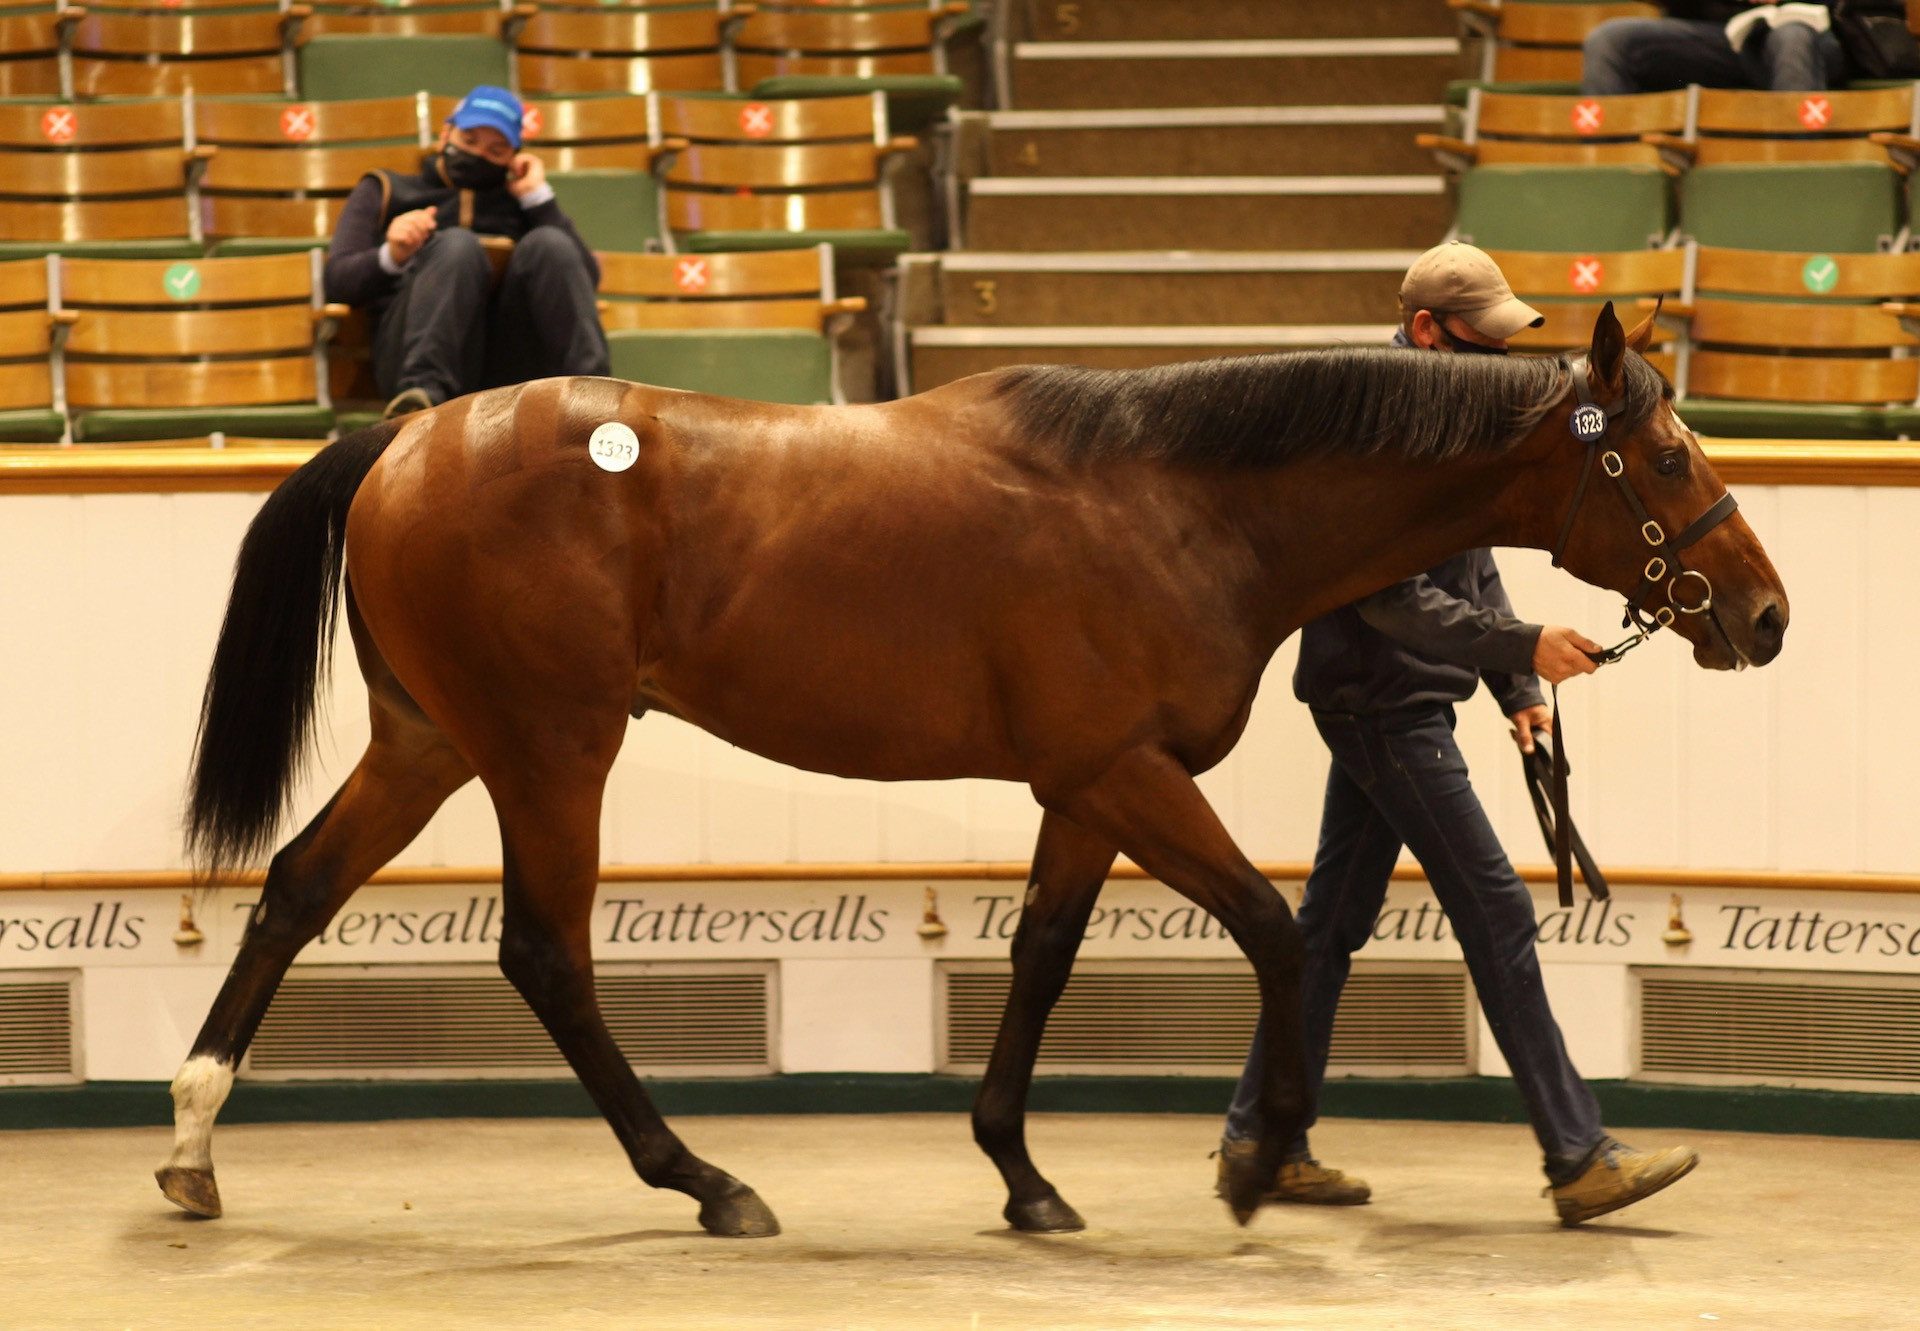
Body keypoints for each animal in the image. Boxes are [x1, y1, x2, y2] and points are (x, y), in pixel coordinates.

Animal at [161, 303, 1781, 1236]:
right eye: (1671, 456)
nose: (1764, 614)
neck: (1179, 500)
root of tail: (405, 437)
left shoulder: (1083, 787)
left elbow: (1045, 957)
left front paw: (1023, 1172)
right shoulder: (1125, 770)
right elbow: (1270, 930)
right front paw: (1259, 1159)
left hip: (431, 741)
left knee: (296, 887)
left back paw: (189, 1144)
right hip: (554, 748)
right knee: (547, 953)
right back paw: (708, 1181)